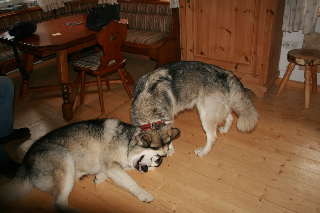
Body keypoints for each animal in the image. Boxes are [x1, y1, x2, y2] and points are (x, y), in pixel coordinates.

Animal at [0, 119, 180, 212]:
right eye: (154, 157)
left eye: (154, 165)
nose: (145, 169)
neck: (128, 142)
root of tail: (25, 162)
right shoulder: (112, 164)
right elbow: (130, 181)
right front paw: (143, 193)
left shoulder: (111, 166)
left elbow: (110, 171)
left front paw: (99, 177)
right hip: (63, 157)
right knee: (58, 202)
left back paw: (81, 174)